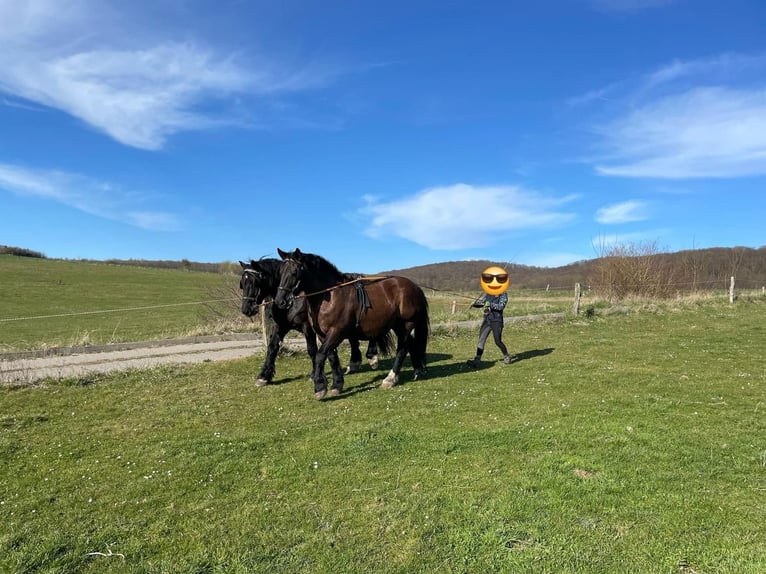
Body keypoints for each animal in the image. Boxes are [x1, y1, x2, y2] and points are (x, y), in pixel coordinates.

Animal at [239, 258, 378, 386]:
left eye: (255, 282)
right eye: (242, 284)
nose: (246, 309)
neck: (293, 300)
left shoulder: (308, 327)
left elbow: (312, 350)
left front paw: (314, 375)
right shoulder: (281, 326)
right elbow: (272, 348)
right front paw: (264, 376)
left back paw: (371, 355)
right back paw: (355, 362)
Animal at [274, 248, 429, 400]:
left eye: (294, 272)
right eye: (280, 272)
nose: (280, 301)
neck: (330, 297)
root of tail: (415, 287)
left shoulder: (336, 332)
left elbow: (320, 355)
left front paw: (320, 387)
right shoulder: (323, 335)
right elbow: (332, 357)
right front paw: (337, 385)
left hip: (407, 324)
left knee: (402, 349)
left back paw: (390, 379)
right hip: (398, 326)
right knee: (410, 344)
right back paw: (417, 370)